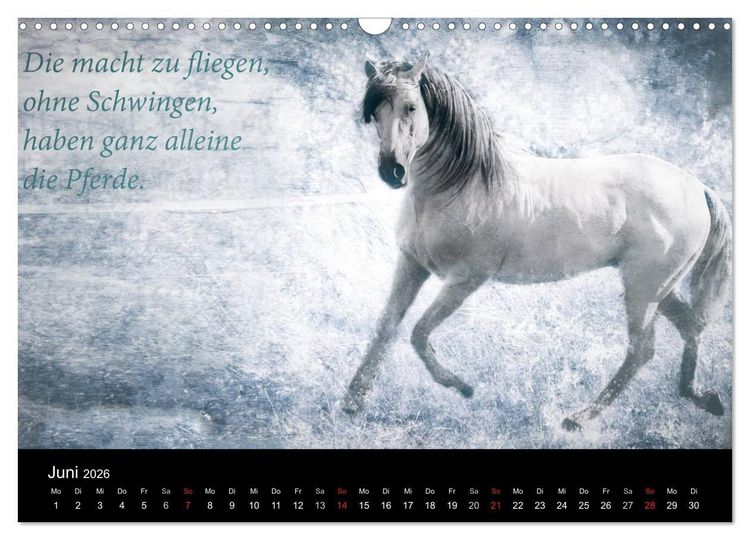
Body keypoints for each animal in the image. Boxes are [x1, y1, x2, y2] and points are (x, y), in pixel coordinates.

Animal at [341, 53, 731, 431]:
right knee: (690, 326)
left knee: (642, 349)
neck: (461, 186)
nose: (392, 171)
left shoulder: (466, 279)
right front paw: (352, 402)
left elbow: (419, 333)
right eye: (374, 111)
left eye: (410, 107)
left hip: (644, 289)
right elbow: (386, 328)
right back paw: (703, 398)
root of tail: (698, 187)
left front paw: (463, 387)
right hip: (661, 288)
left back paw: (579, 418)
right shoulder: (412, 265)